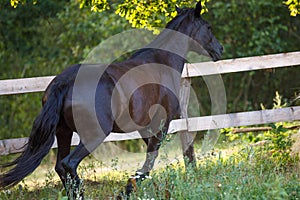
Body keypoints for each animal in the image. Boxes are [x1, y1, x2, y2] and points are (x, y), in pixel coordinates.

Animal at [0, 1, 220, 198]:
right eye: (208, 27)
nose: (220, 49)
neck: (162, 62)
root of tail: (64, 83)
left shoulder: (145, 127)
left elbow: (149, 162)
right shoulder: (161, 124)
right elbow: (149, 162)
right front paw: (126, 191)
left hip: (63, 132)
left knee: (60, 167)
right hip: (95, 134)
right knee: (68, 164)